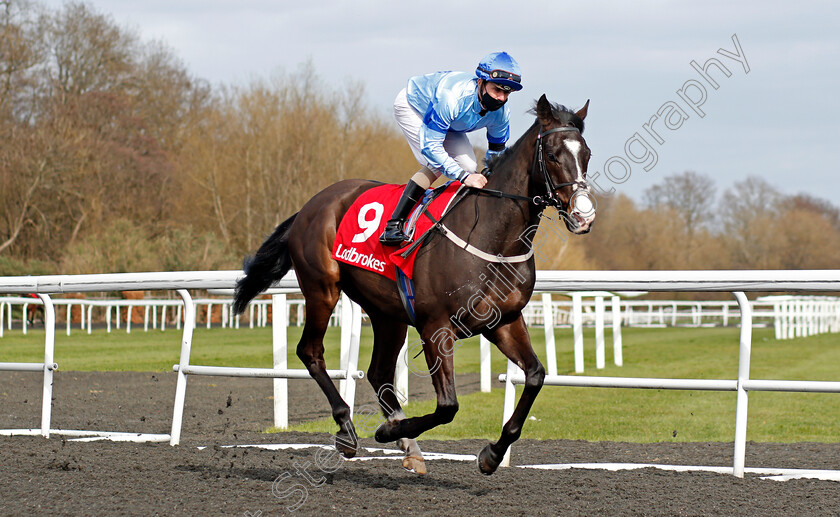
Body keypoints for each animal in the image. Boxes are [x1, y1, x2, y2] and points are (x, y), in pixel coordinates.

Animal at [233, 94, 592, 474]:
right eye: (552, 154)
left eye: (586, 154)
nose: (584, 216)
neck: (493, 235)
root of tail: (310, 205)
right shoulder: (436, 326)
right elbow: (448, 405)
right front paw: (387, 431)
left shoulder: (503, 321)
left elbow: (536, 375)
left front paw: (492, 454)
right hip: (322, 288)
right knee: (310, 351)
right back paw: (348, 429)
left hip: (387, 313)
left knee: (378, 372)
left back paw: (409, 446)